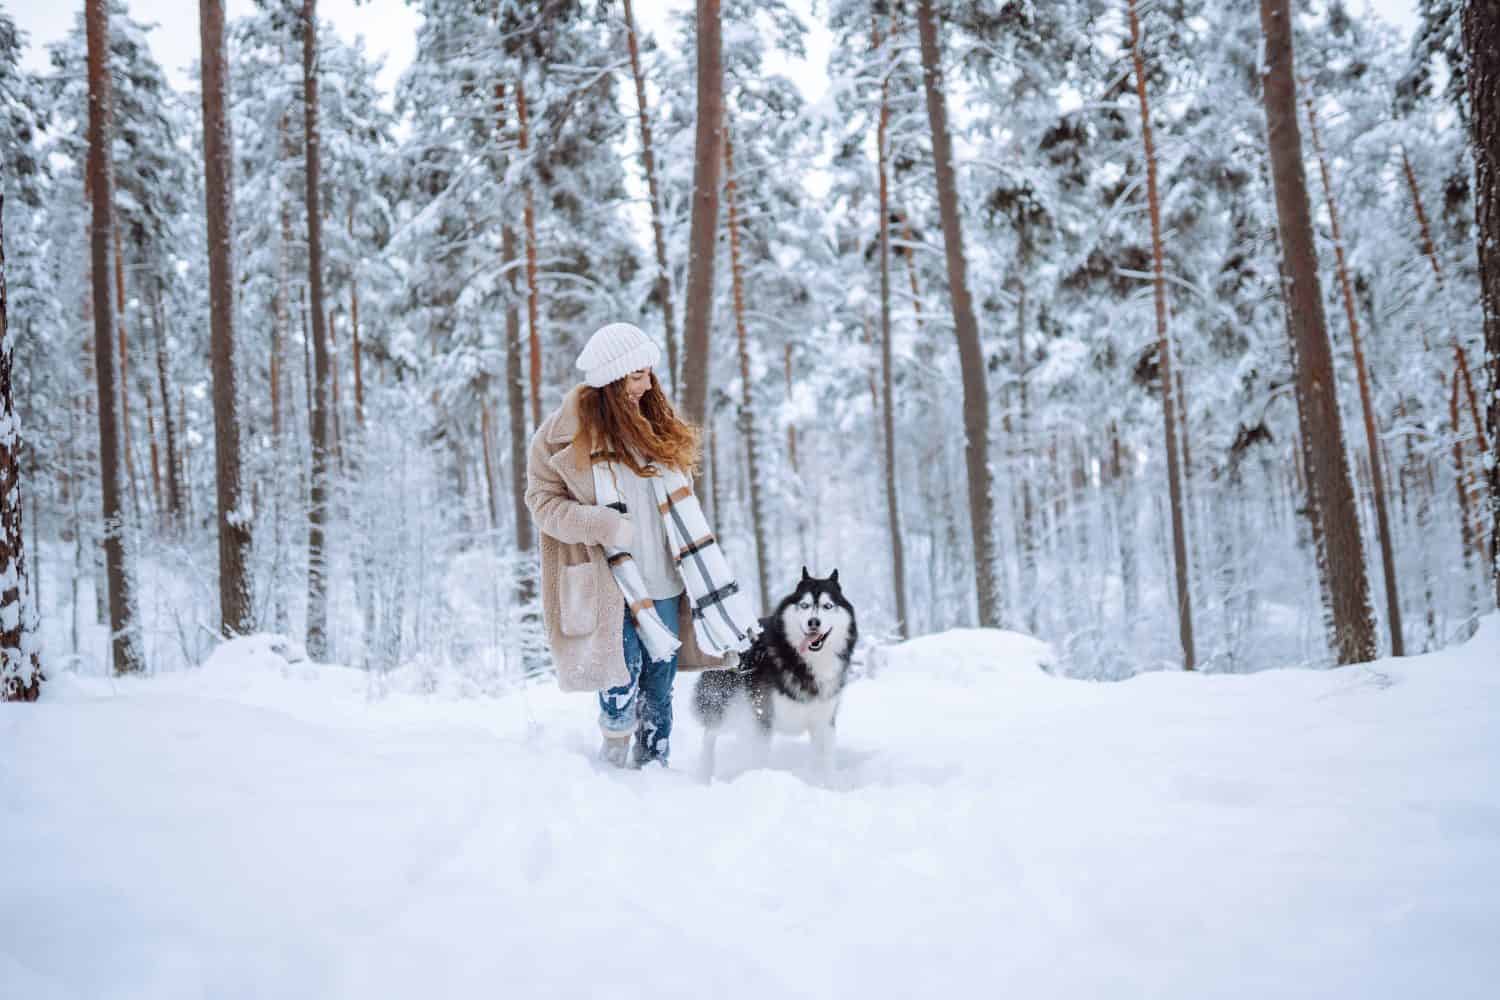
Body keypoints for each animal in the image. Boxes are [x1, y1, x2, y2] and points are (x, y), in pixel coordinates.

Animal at [690, 569, 858, 779]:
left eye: (828, 606)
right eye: (805, 605)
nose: (813, 622)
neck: (805, 662)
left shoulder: (824, 722)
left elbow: (825, 762)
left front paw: (827, 783)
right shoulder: (762, 718)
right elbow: (759, 759)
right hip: (725, 706)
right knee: (710, 735)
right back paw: (704, 773)